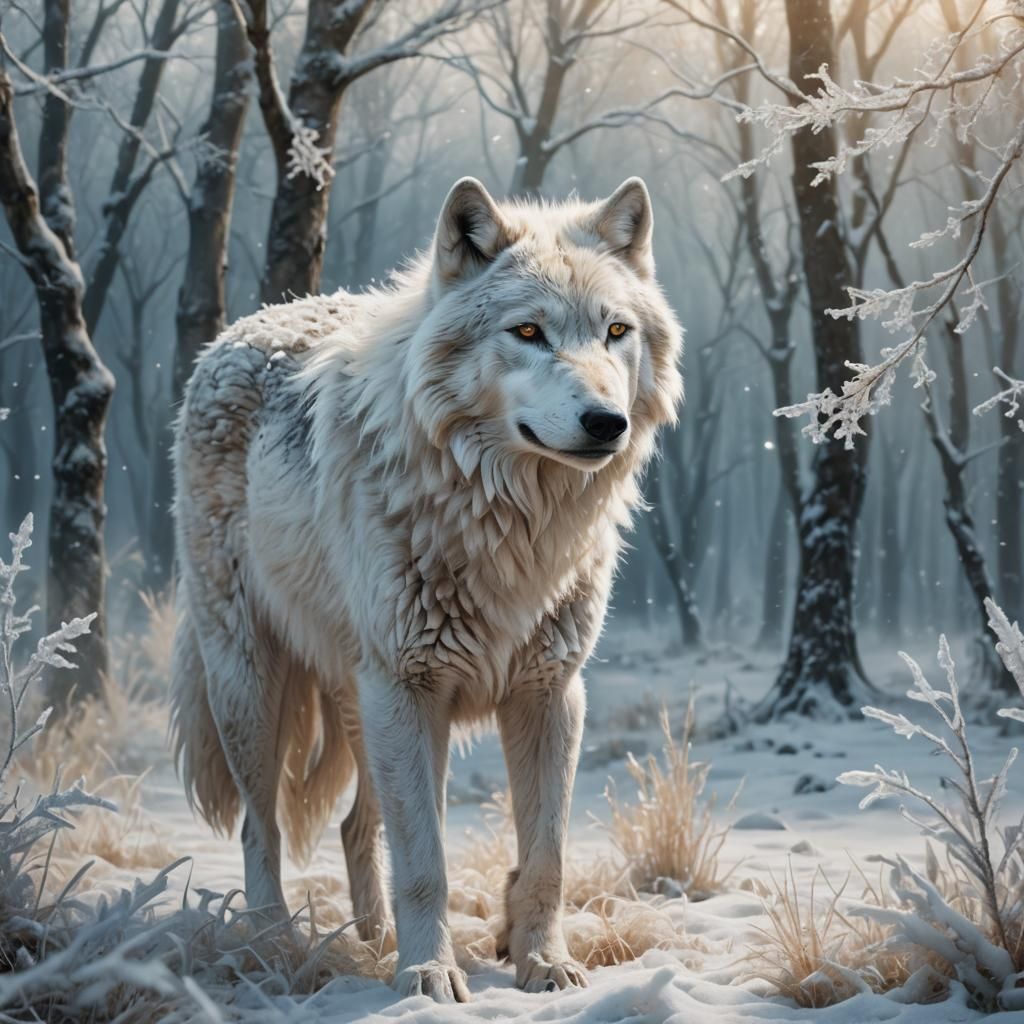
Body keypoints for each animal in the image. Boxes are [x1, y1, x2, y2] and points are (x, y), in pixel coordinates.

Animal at [170, 176, 683, 1002]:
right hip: (258, 685)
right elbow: (425, 863)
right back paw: (277, 943)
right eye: (529, 331)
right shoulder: (410, 689)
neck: (511, 525)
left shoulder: (549, 693)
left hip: (368, 707)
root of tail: (243, 326)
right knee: (261, 825)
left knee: (356, 824)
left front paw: (543, 962)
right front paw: (429, 977)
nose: (606, 421)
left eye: (615, 332)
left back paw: (372, 939)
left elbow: (547, 855)